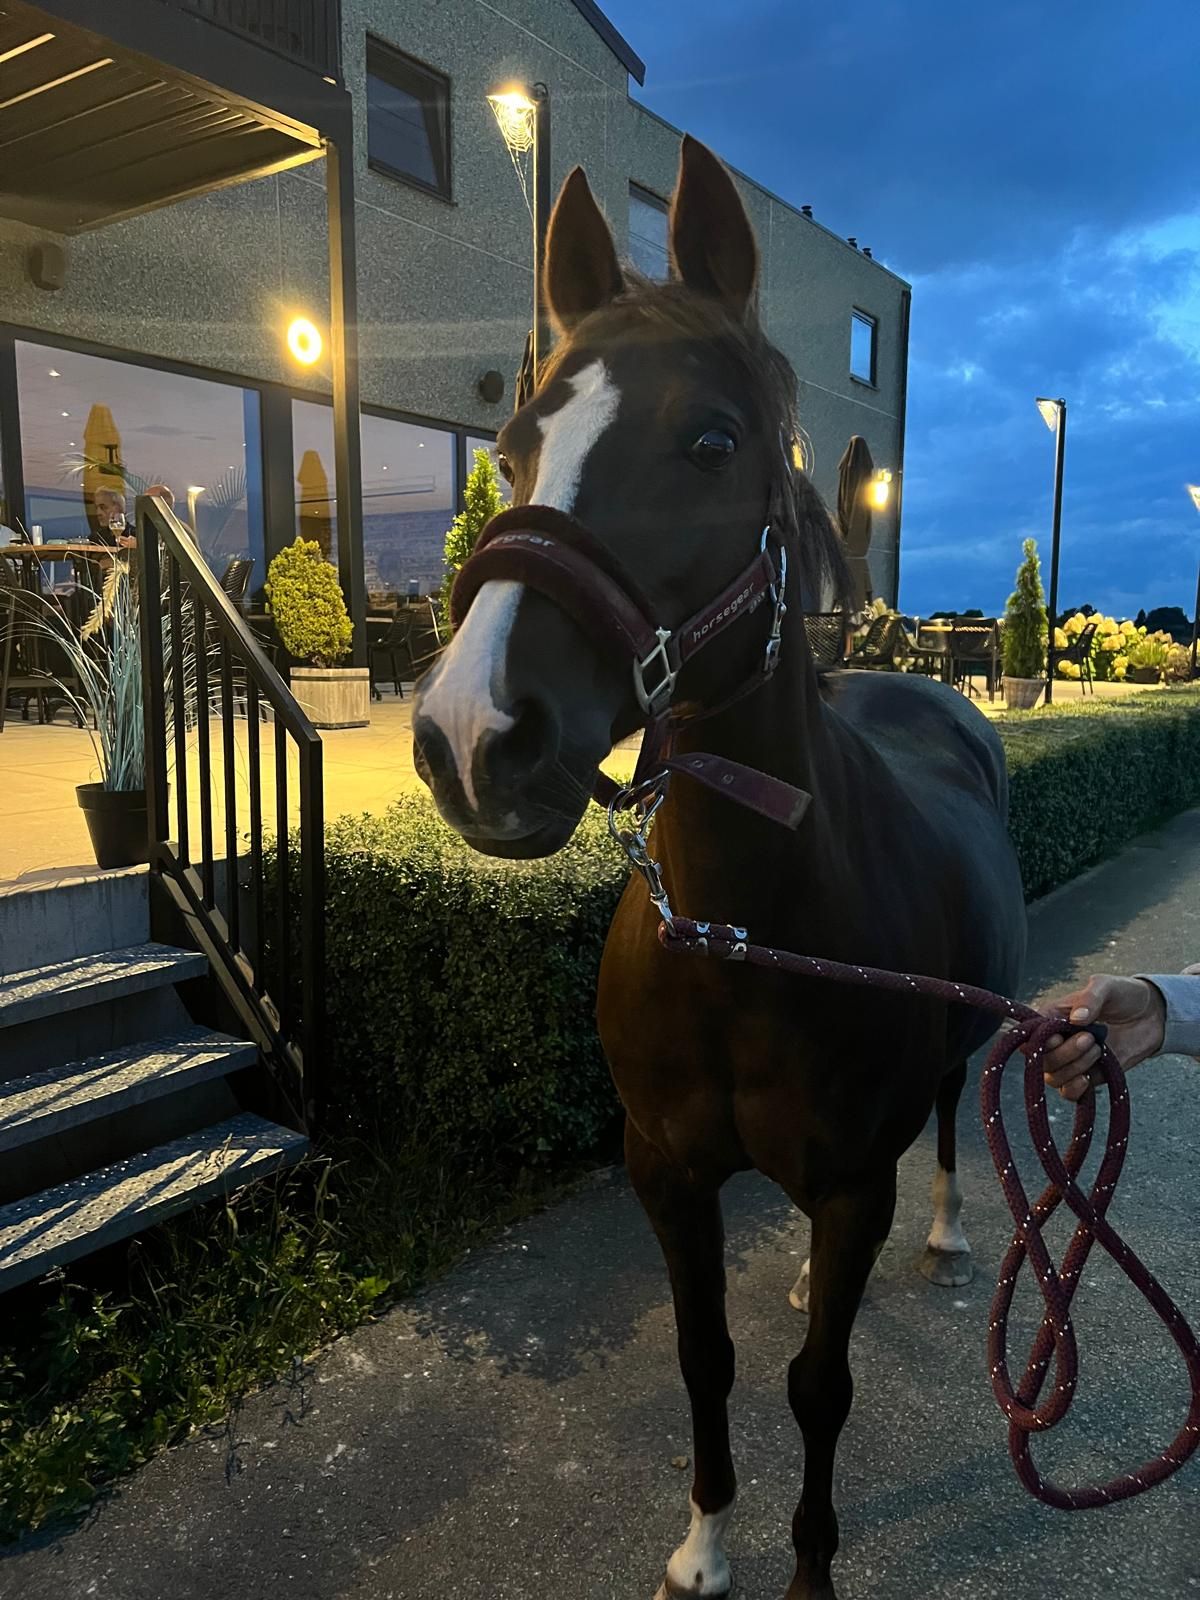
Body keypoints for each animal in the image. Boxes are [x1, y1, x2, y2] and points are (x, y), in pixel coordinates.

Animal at [412, 135, 1027, 1600]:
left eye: (711, 441)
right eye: (514, 448)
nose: (474, 733)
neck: (745, 940)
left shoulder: (850, 1180)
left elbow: (818, 1389)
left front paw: (804, 1569)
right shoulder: (668, 1174)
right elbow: (711, 1362)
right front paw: (702, 1544)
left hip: (955, 1056)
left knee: (946, 1115)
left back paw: (946, 1231)